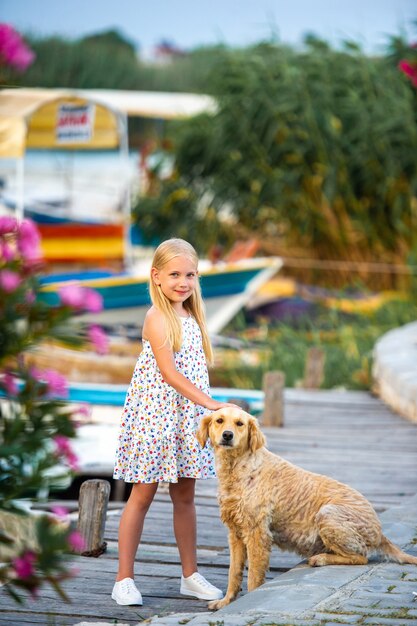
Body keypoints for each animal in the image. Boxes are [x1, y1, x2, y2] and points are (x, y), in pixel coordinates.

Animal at [197, 404, 416, 604]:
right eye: (219, 420)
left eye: (239, 424)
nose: (227, 435)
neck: (239, 467)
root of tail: (380, 531)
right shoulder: (235, 533)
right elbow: (233, 573)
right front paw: (226, 602)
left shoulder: (256, 533)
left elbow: (253, 578)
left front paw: (248, 600)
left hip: (327, 513)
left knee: (361, 557)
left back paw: (320, 558)